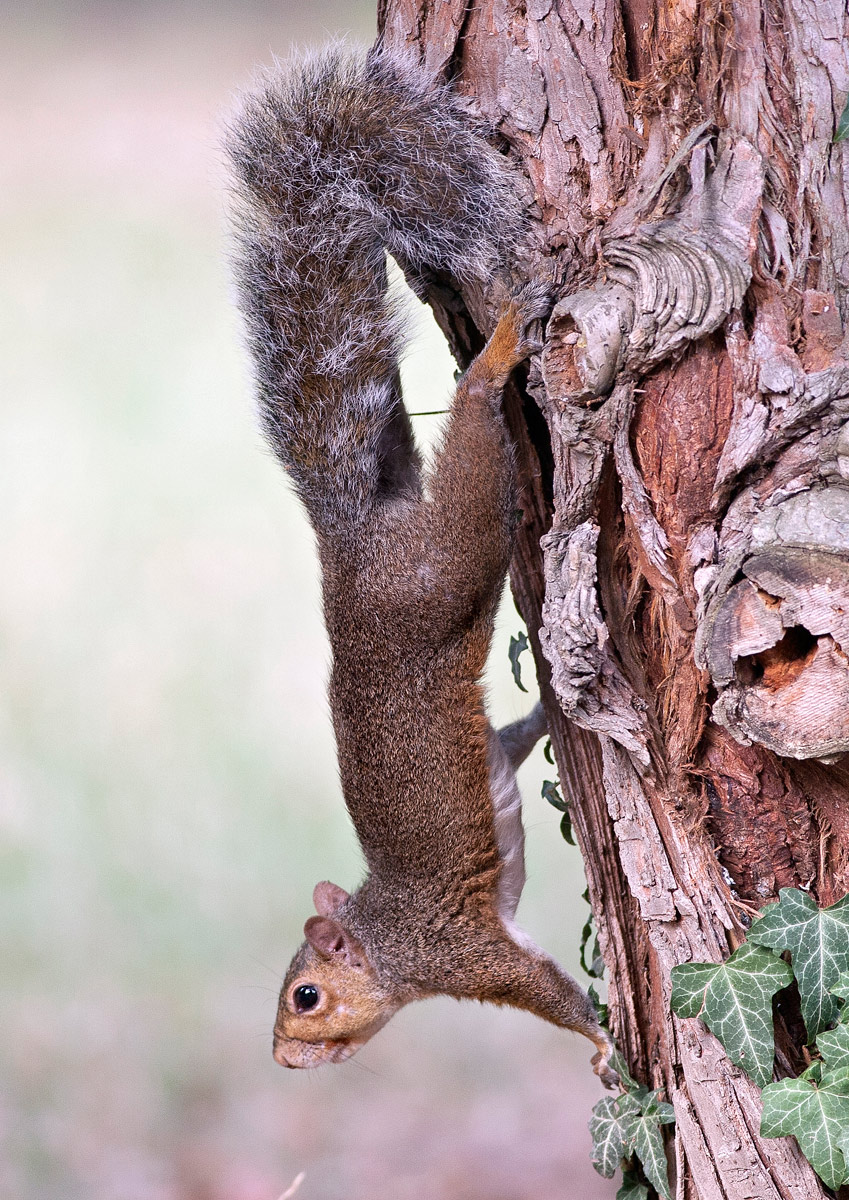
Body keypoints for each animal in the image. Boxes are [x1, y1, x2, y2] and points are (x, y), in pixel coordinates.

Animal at [227, 44, 617, 1089]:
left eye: (304, 996)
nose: (283, 1061)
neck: (388, 943)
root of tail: (353, 536)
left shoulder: (464, 954)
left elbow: (549, 996)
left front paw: (609, 1049)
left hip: (448, 560)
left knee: (478, 427)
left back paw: (502, 342)